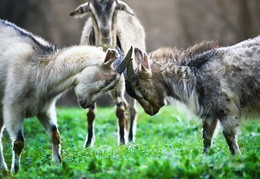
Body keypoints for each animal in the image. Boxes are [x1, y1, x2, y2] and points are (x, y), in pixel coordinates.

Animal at [0, 19, 132, 172]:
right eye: (106, 82)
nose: (86, 104)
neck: (40, 69)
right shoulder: (13, 109)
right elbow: (19, 142)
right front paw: (15, 171)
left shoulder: (44, 108)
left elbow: (55, 134)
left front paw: (57, 164)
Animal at [69, 0, 146, 146]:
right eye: (92, 11)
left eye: (115, 8)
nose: (105, 33)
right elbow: (91, 112)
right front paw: (88, 143)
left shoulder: (119, 80)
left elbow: (119, 110)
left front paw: (122, 141)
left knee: (131, 107)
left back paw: (130, 137)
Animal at [123, 37, 260, 155]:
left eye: (141, 89)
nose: (149, 111)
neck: (195, 76)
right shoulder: (210, 114)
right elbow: (206, 137)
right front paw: (204, 157)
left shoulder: (226, 110)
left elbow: (229, 136)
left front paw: (237, 157)